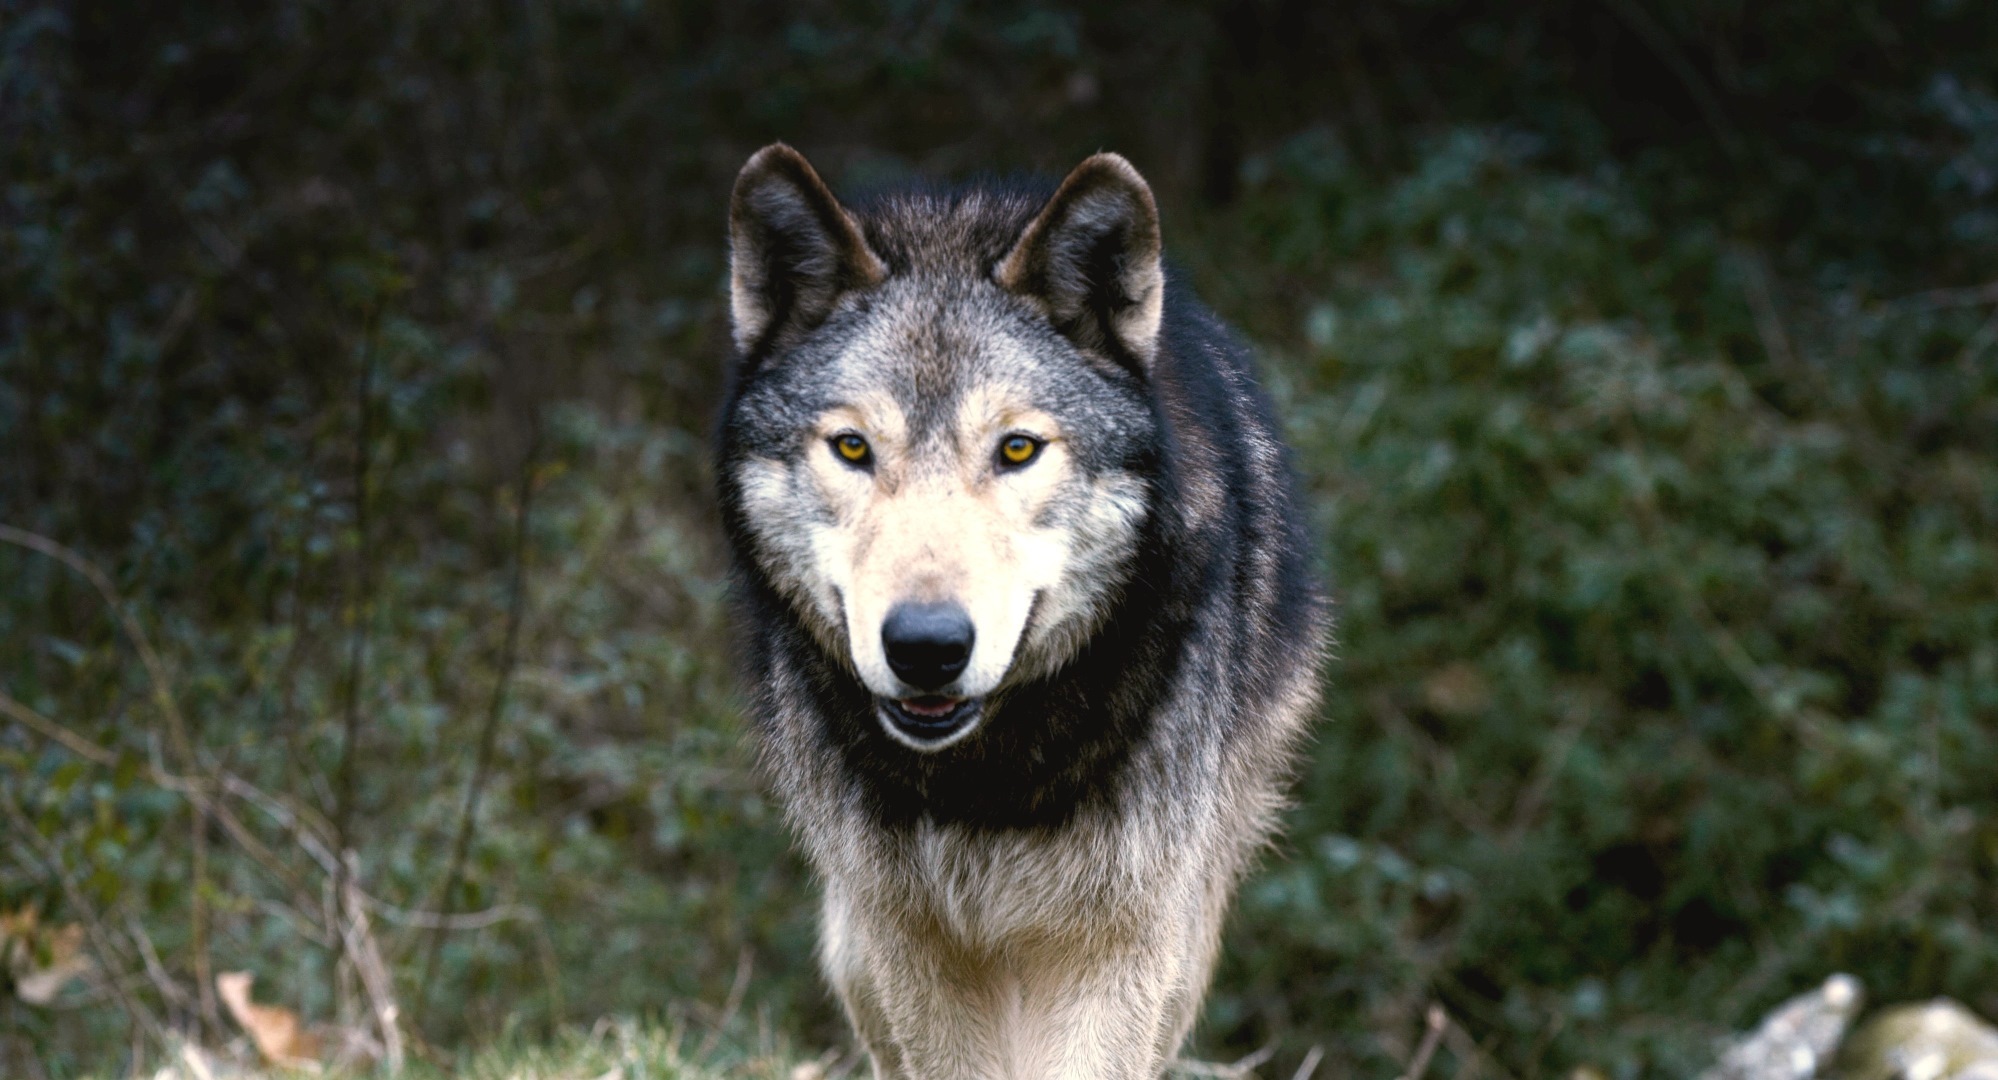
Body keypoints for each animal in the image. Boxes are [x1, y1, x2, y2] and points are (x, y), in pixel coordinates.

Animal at [719, 145, 1326, 1078]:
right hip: (855, 943)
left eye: (1016, 449)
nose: (926, 646)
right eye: (853, 447)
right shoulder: (914, 941)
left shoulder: (1125, 938)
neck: (990, 776)